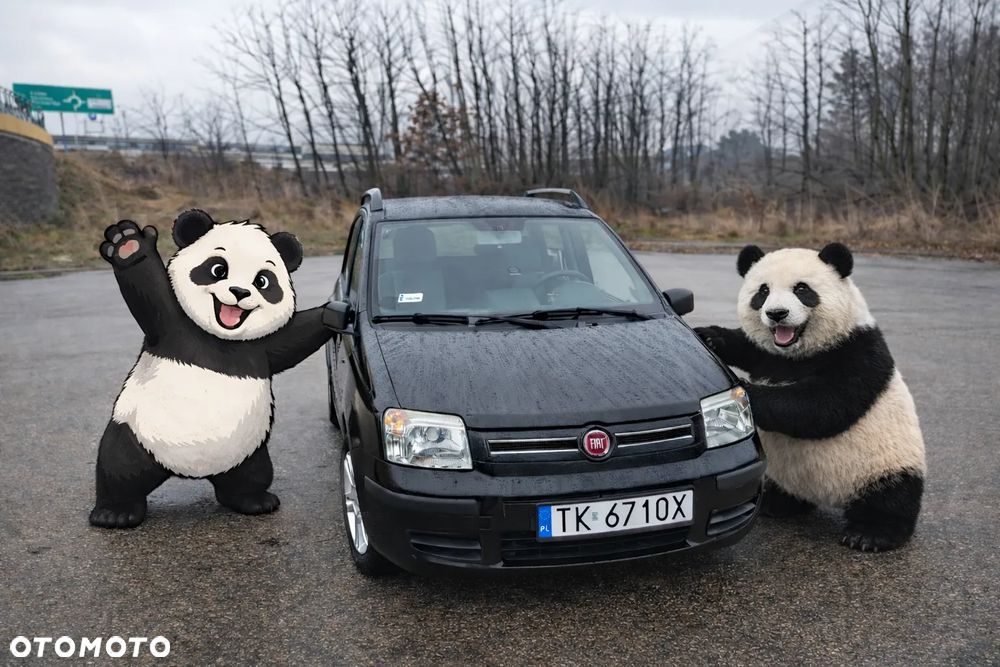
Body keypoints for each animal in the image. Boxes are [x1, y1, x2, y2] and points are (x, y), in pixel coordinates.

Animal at [90, 209, 332, 529]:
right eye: (218, 269)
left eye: (263, 281)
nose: (240, 292)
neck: (219, 336)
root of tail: (190, 471)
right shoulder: (173, 327)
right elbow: (151, 294)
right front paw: (128, 245)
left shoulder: (257, 349)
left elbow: (293, 340)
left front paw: (336, 312)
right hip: (137, 436)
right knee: (119, 467)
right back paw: (114, 513)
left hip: (247, 450)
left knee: (252, 475)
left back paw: (253, 501)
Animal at [696, 243, 926, 551]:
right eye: (763, 291)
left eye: (802, 289)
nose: (777, 313)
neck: (796, 352)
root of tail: (826, 494)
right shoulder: (765, 354)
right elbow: (745, 343)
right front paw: (708, 336)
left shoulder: (857, 352)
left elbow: (822, 407)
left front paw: (745, 396)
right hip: (783, 473)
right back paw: (776, 503)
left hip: (885, 460)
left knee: (891, 496)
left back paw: (870, 534)